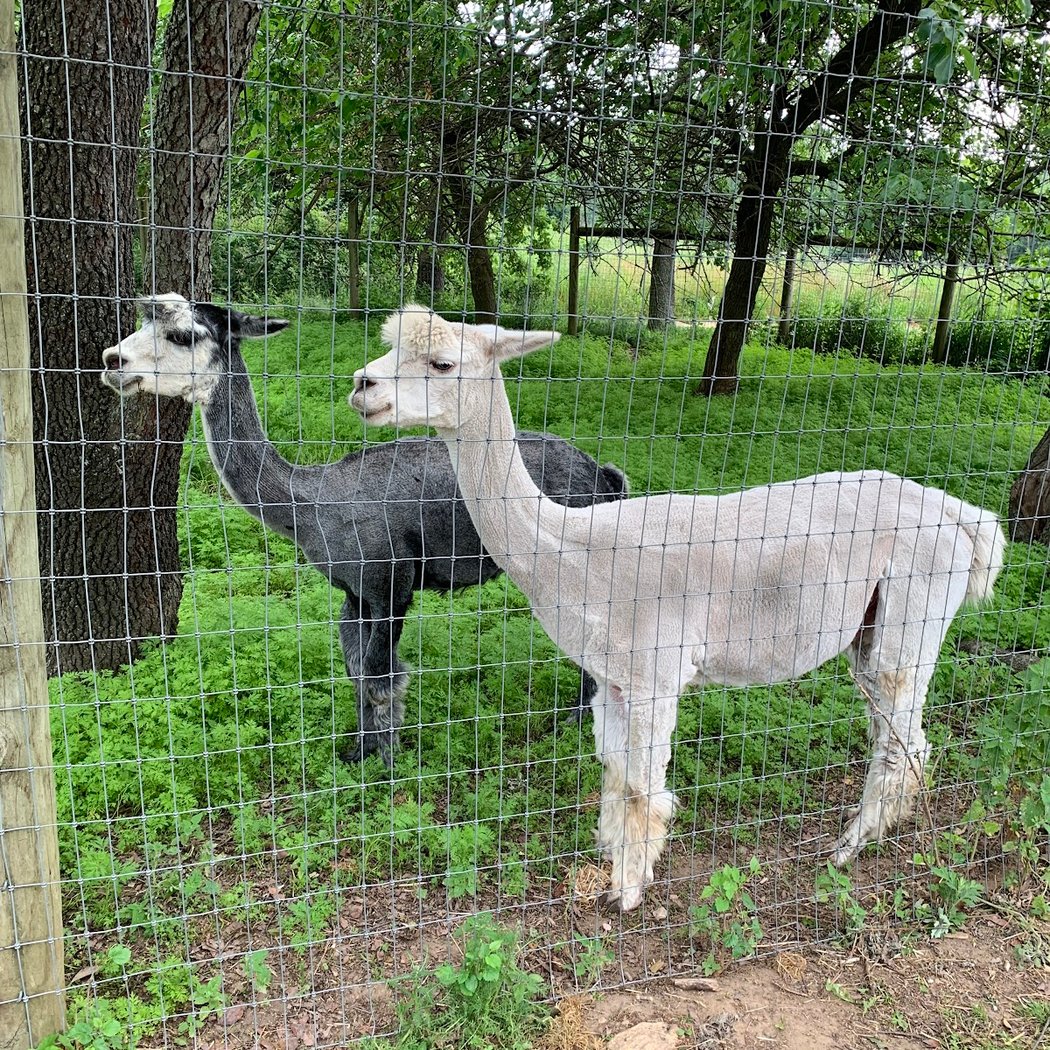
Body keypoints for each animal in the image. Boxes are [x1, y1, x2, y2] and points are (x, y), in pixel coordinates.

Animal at [100, 294, 626, 766]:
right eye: (141, 322)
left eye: (182, 335)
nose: (111, 360)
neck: (312, 501)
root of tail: (603, 474)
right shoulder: (354, 593)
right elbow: (356, 672)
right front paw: (358, 753)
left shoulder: (390, 583)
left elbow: (380, 679)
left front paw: (387, 767)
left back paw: (578, 720)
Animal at [349, 304, 1006, 911]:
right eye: (389, 350)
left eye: (442, 363)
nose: (362, 384)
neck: (576, 551)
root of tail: (960, 515)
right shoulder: (613, 681)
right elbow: (616, 778)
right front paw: (612, 862)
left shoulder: (655, 676)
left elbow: (645, 791)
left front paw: (630, 892)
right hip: (871, 635)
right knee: (893, 733)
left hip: (911, 617)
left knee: (905, 742)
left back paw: (848, 848)